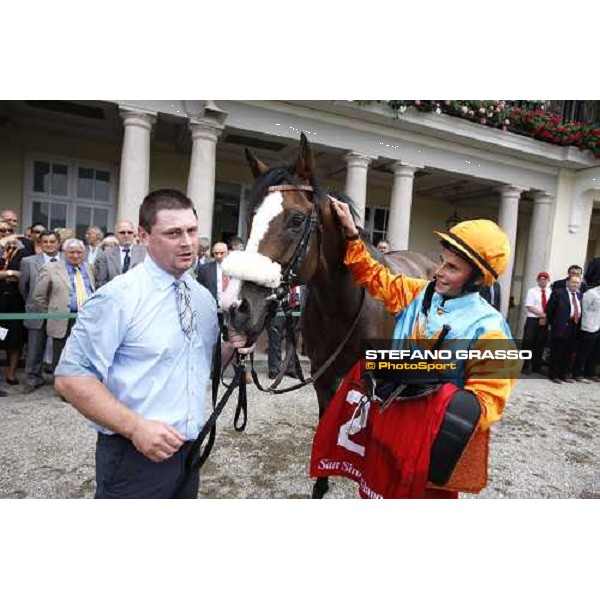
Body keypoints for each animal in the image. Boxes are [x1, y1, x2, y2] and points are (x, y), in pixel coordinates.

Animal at [224, 134, 436, 500]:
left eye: (296, 220)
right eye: (251, 218)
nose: (239, 308)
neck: (345, 306)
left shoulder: (370, 380)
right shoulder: (324, 376)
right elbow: (327, 420)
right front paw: (321, 482)